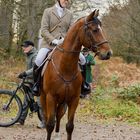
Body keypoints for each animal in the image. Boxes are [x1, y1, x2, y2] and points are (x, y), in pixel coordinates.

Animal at [40, 9, 112, 140]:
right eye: (95, 30)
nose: (108, 53)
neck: (65, 67)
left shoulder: (74, 99)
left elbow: (69, 126)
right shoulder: (51, 97)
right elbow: (50, 124)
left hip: (63, 101)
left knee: (59, 115)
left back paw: (57, 135)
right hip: (44, 97)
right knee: (48, 117)